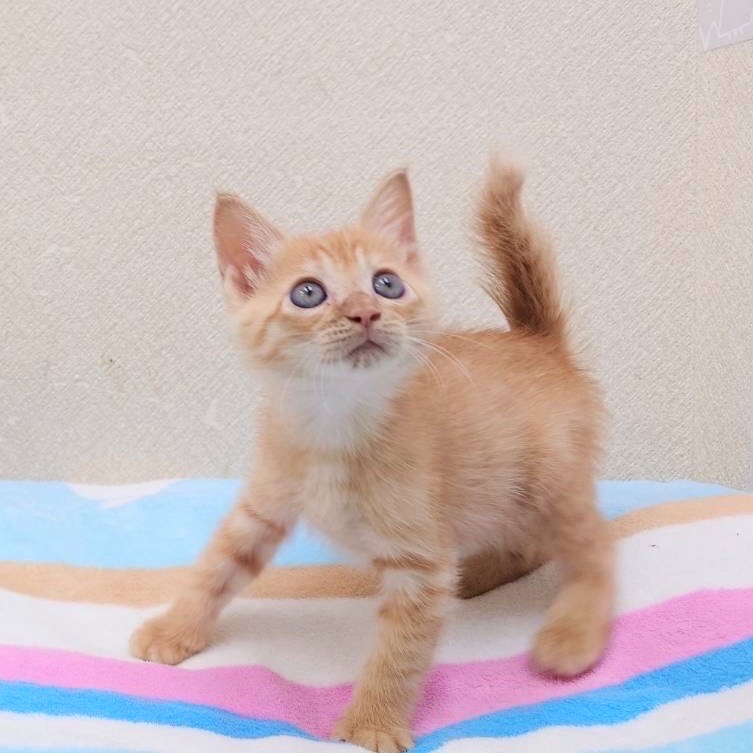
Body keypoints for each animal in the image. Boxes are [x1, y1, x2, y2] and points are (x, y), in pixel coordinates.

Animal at [130, 157, 614, 753]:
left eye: (387, 284)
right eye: (308, 293)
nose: (364, 313)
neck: (336, 421)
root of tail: (540, 343)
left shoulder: (418, 561)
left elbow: (399, 652)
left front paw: (372, 722)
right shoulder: (261, 506)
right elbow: (215, 568)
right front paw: (174, 630)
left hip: (548, 482)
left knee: (594, 546)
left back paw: (573, 634)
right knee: (528, 548)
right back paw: (475, 574)